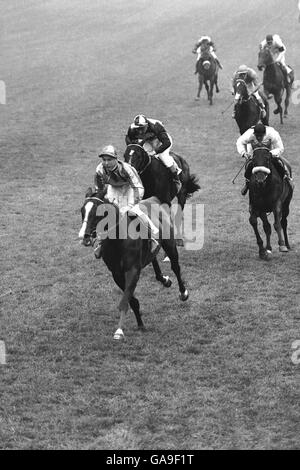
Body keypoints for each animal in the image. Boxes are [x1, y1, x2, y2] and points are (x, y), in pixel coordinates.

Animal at [78, 189, 189, 340]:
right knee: (153, 258)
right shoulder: (117, 274)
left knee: (176, 267)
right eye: (82, 211)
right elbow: (131, 300)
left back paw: (183, 292)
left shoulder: (132, 270)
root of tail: (155, 199)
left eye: (97, 212)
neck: (118, 241)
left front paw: (119, 330)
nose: (84, 236)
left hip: (169, 243)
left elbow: (125, 300)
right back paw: (164, 280)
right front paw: (140, 324)